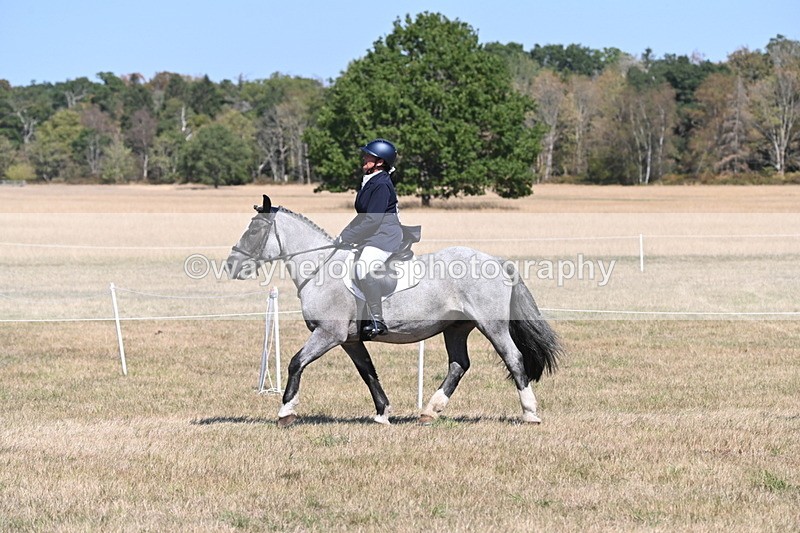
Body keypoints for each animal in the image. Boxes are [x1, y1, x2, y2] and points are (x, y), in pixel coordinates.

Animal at [226, 194, 562, 427]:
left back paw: (530, 413)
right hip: (456, 328)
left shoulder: (329, 334)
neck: (320, 267)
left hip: (491, 325)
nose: (231, 266)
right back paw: (430, 412)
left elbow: (296, 362)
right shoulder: (350, 340)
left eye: (253, 231)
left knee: (513, 358)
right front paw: (383, 413)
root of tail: (497, 261)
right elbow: (368, 372)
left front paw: (285, 411)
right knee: (459, 365)